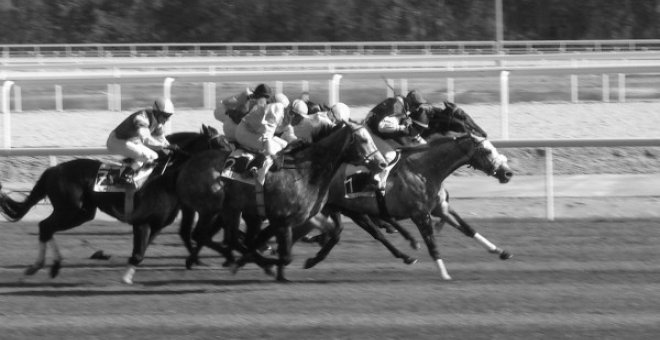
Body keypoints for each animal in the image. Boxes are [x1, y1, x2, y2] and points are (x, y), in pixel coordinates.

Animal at [0, 125, 227, 282]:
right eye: (220, 144)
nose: (233, 159)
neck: (166, 177)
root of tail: (53, 170)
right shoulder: (141, 222)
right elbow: (138, 254)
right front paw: (125, 278)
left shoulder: (157, 225)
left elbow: (141, 252)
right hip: (70, 209)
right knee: (45, 226)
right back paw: (43, 265)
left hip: (82, 213)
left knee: (47, 228)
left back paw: (51, 266)